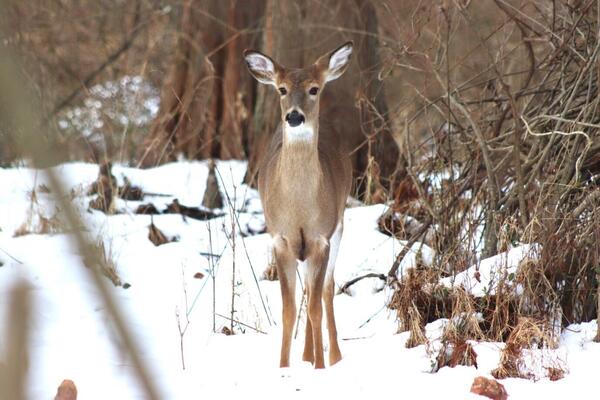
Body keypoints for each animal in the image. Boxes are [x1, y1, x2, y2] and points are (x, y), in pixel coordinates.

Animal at [244, 42, 354, 368]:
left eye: (314, 89)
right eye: (281, 89)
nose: (294, 117)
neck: (300, 207)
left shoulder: (320, 238)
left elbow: (316, 305)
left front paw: (320, 366)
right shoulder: (280, 239)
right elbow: (288, 309)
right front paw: (284, 367)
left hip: (339, 225)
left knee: (326, 290)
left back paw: (333, 356)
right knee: (307, 290)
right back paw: (305, 355)